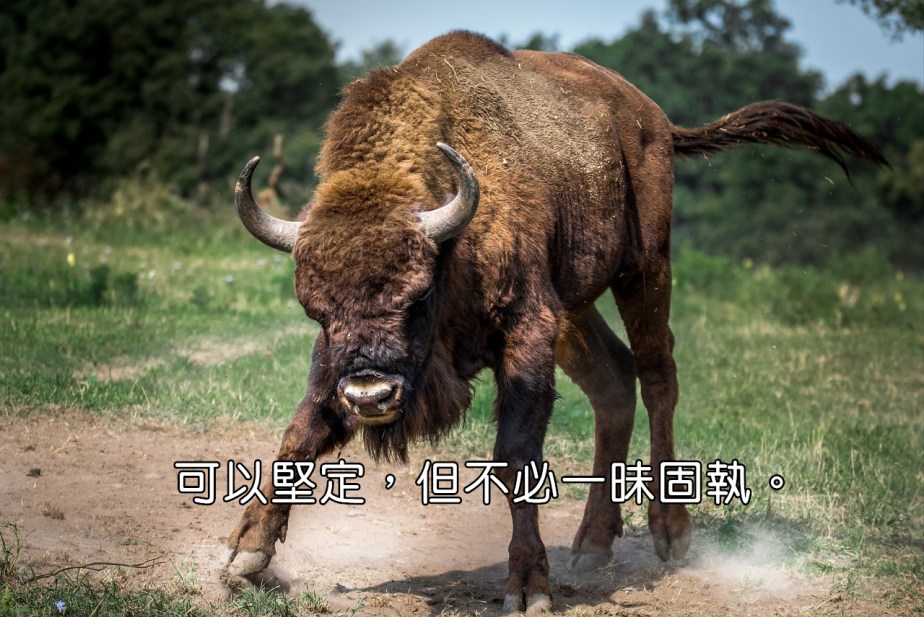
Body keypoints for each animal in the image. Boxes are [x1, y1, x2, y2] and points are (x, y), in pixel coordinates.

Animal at [222, 31, 884, 612]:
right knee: (614, 381)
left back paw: (670, 533)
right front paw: (244, 559)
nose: (369, 395)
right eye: (316, 309)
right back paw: (591, 545)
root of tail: (653, 120)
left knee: (657, 374)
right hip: (576, 308)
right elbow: (300, 432)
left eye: (418, 294)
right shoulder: (339, 362)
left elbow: (518, 456)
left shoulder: (527, 331)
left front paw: (528, 588)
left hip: (644, 269)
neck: (452, 239)